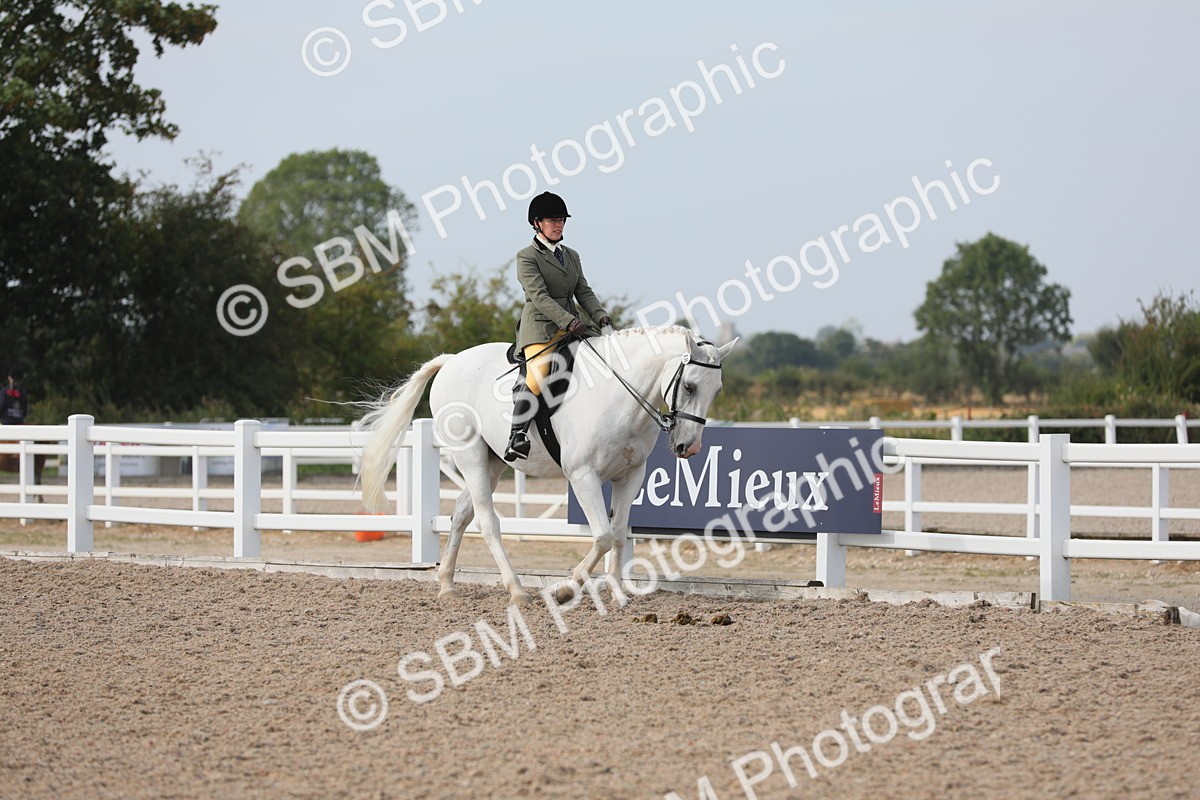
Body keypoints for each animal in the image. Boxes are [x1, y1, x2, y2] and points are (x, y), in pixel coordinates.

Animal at [359, 325, 737, 603]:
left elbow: (617, 536)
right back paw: (516, 590)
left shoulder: (630, 476)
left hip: (492, 461)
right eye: (690, 386)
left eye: (717, 390)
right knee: (487, 521)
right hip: (469, 456)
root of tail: (451, 362)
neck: (619, 395)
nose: (689, 447)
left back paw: (447, 584)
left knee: (462, 514)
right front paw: (565, 588)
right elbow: (601, 536)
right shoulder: (583, 476)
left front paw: (617, 594)